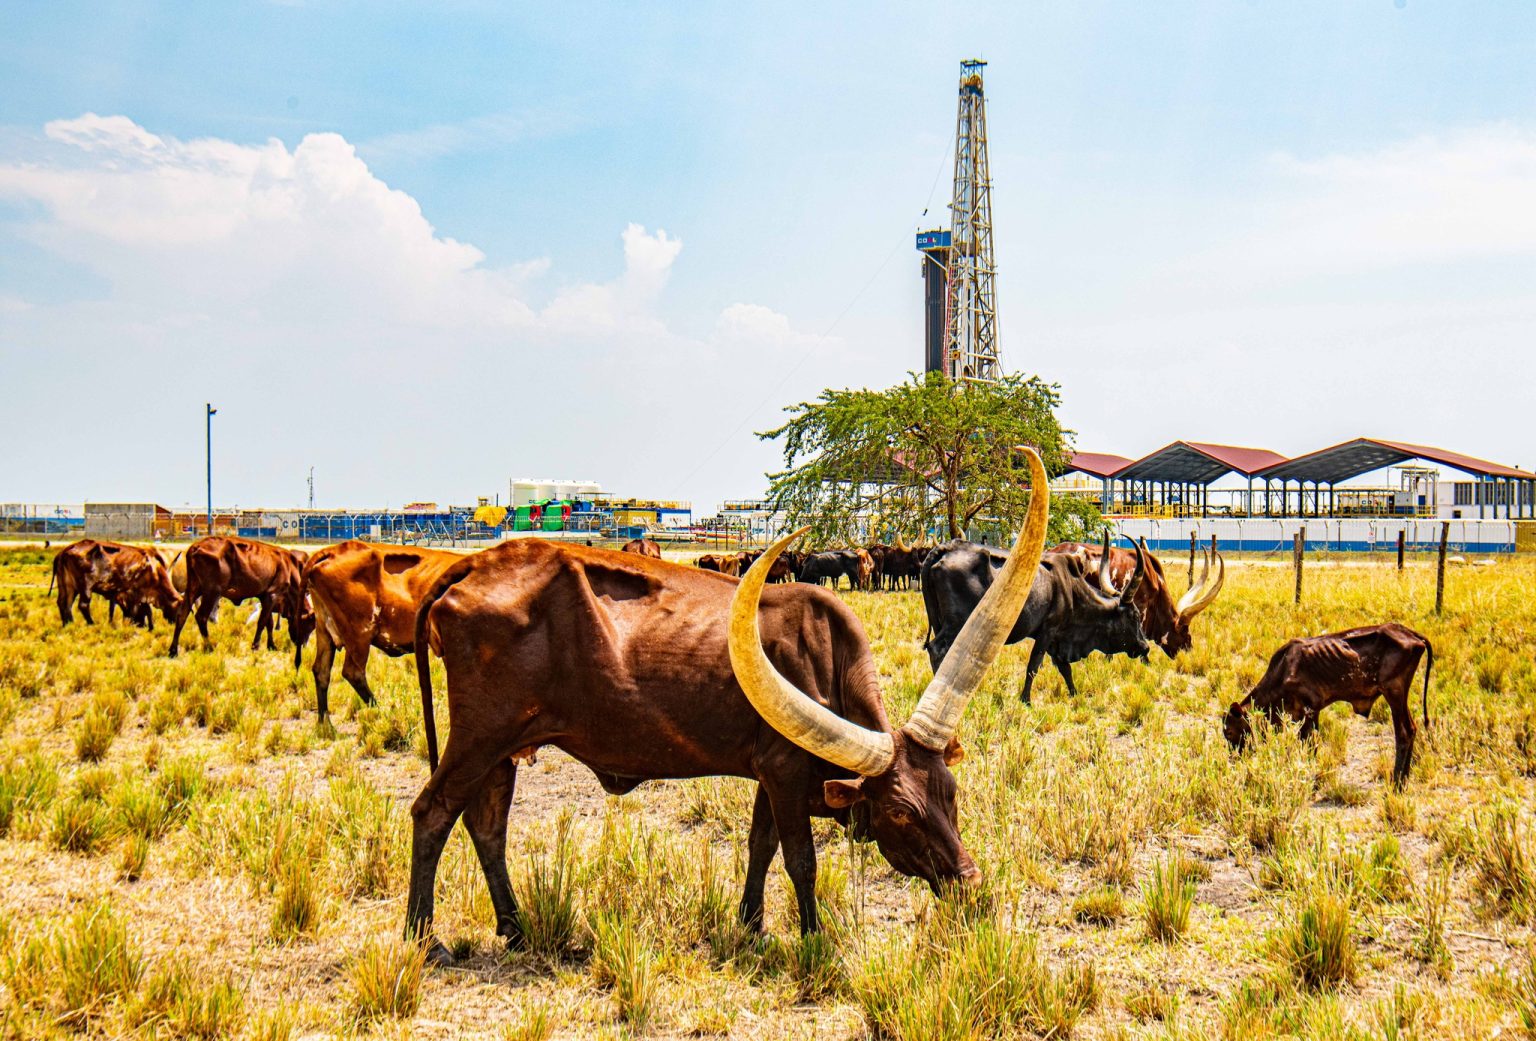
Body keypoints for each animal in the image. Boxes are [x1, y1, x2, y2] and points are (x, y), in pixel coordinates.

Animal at [408, 445, 1056, 964]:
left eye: (951, 793)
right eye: (899, 812)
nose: (969, 885)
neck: (824, 664)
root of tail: (472, 564)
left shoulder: (771, 771)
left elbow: (760, 847)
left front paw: (751, 925)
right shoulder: (787, 774)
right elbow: (800, 859)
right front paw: (812, 938)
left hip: (506, 748)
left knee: (486, 824)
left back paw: (515, 929)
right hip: (480, 736)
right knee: (433, 812)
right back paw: (426, 940)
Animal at [1216, 623, 1431, 786]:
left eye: (1229, 732)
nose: (1234, 758)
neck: (1282, 671)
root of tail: (1409, 633)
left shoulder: (1310, 710)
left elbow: (1310, 744)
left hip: (1394, 692)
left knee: (1404, 732)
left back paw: (1397, 783)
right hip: (1399, 695)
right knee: (1412, 729)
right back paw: (1404, 779)